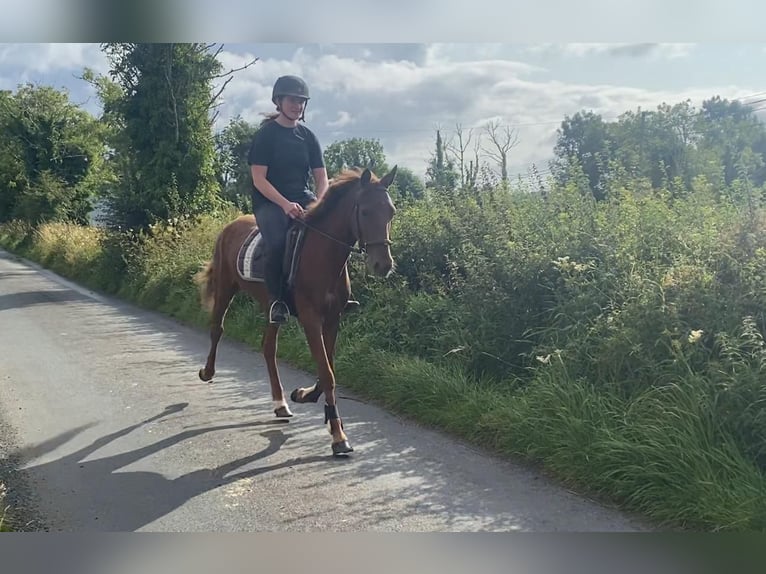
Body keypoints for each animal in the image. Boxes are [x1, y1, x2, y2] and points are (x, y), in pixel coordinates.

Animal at [195, 168, 400, 460]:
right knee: (217, 328)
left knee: (268, 347)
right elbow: (327, 372)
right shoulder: (310, 319)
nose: (383, 264)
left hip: (271, 306)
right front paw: (339, 437)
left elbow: (328, 369)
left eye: (391, 211)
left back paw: (280, 403)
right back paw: (207, 372)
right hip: (226, 288)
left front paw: (304, 395)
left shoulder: (333, 319)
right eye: (365, 211)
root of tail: (229, 226)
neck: (323, 255)